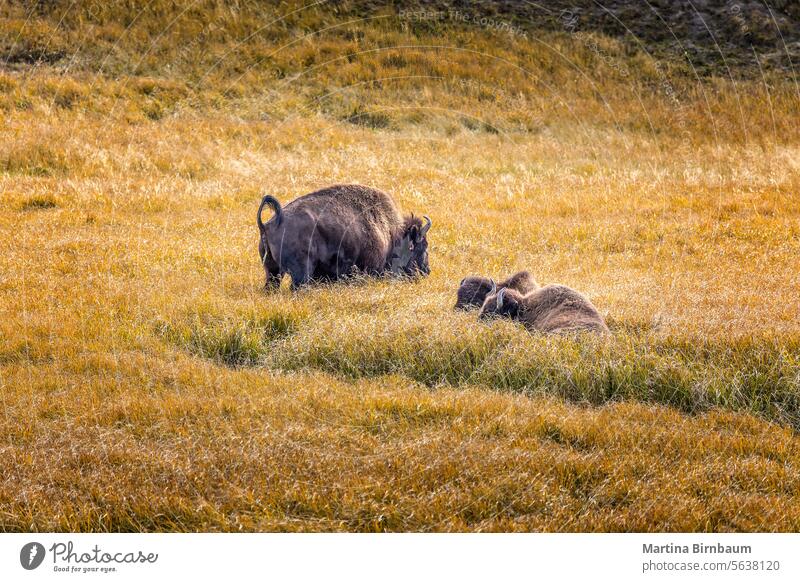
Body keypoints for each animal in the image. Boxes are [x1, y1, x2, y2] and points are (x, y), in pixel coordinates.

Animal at [256, 185, 432, 290]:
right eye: (422, 247)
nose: (427, 271)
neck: (390, 232)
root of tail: (274, 222)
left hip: (272, 272)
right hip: (301, 273)